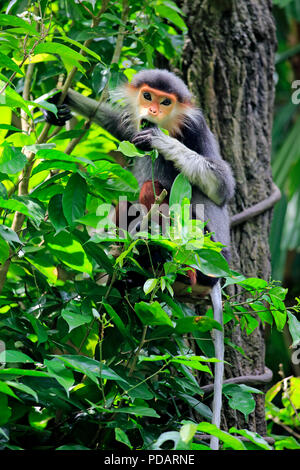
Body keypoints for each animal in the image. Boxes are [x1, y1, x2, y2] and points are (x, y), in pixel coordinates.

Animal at [45, 69, 237, 448]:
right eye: (148, 96)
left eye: (166, 101)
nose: (153, 112)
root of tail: (216, 279)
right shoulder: (130, 125)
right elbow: (118, 125)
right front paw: (61, 99)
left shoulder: (196, 130)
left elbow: (221, 188)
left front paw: (161, 141)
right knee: (132, 198)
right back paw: (127, 268)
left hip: (204, 249)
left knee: (163, 192)